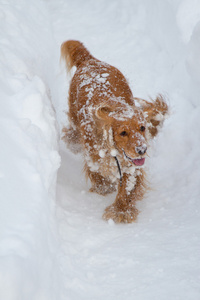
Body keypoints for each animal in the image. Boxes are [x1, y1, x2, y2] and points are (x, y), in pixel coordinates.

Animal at [60, 39, 168, 223]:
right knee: (73, 128)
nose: (142, 150)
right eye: (123, 133)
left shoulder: (132, 164)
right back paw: (72, 141)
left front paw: (121, 210)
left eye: (142, 128)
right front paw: (104, 187)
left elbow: (128, 187)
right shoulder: (93, 155)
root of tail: (90, 60)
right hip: (73, 111)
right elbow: (96, 171)